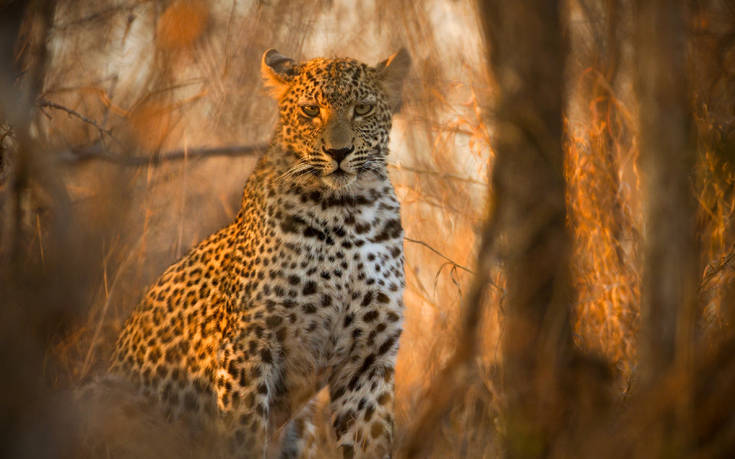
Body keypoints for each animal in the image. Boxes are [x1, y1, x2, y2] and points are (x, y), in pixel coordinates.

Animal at [108, 47, 414, 459]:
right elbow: (245, 435)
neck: (348, 212)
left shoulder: (369, 357)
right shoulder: (249, 345)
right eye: (310, 111)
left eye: (362, 109)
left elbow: (371, 442)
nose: (338, 152)